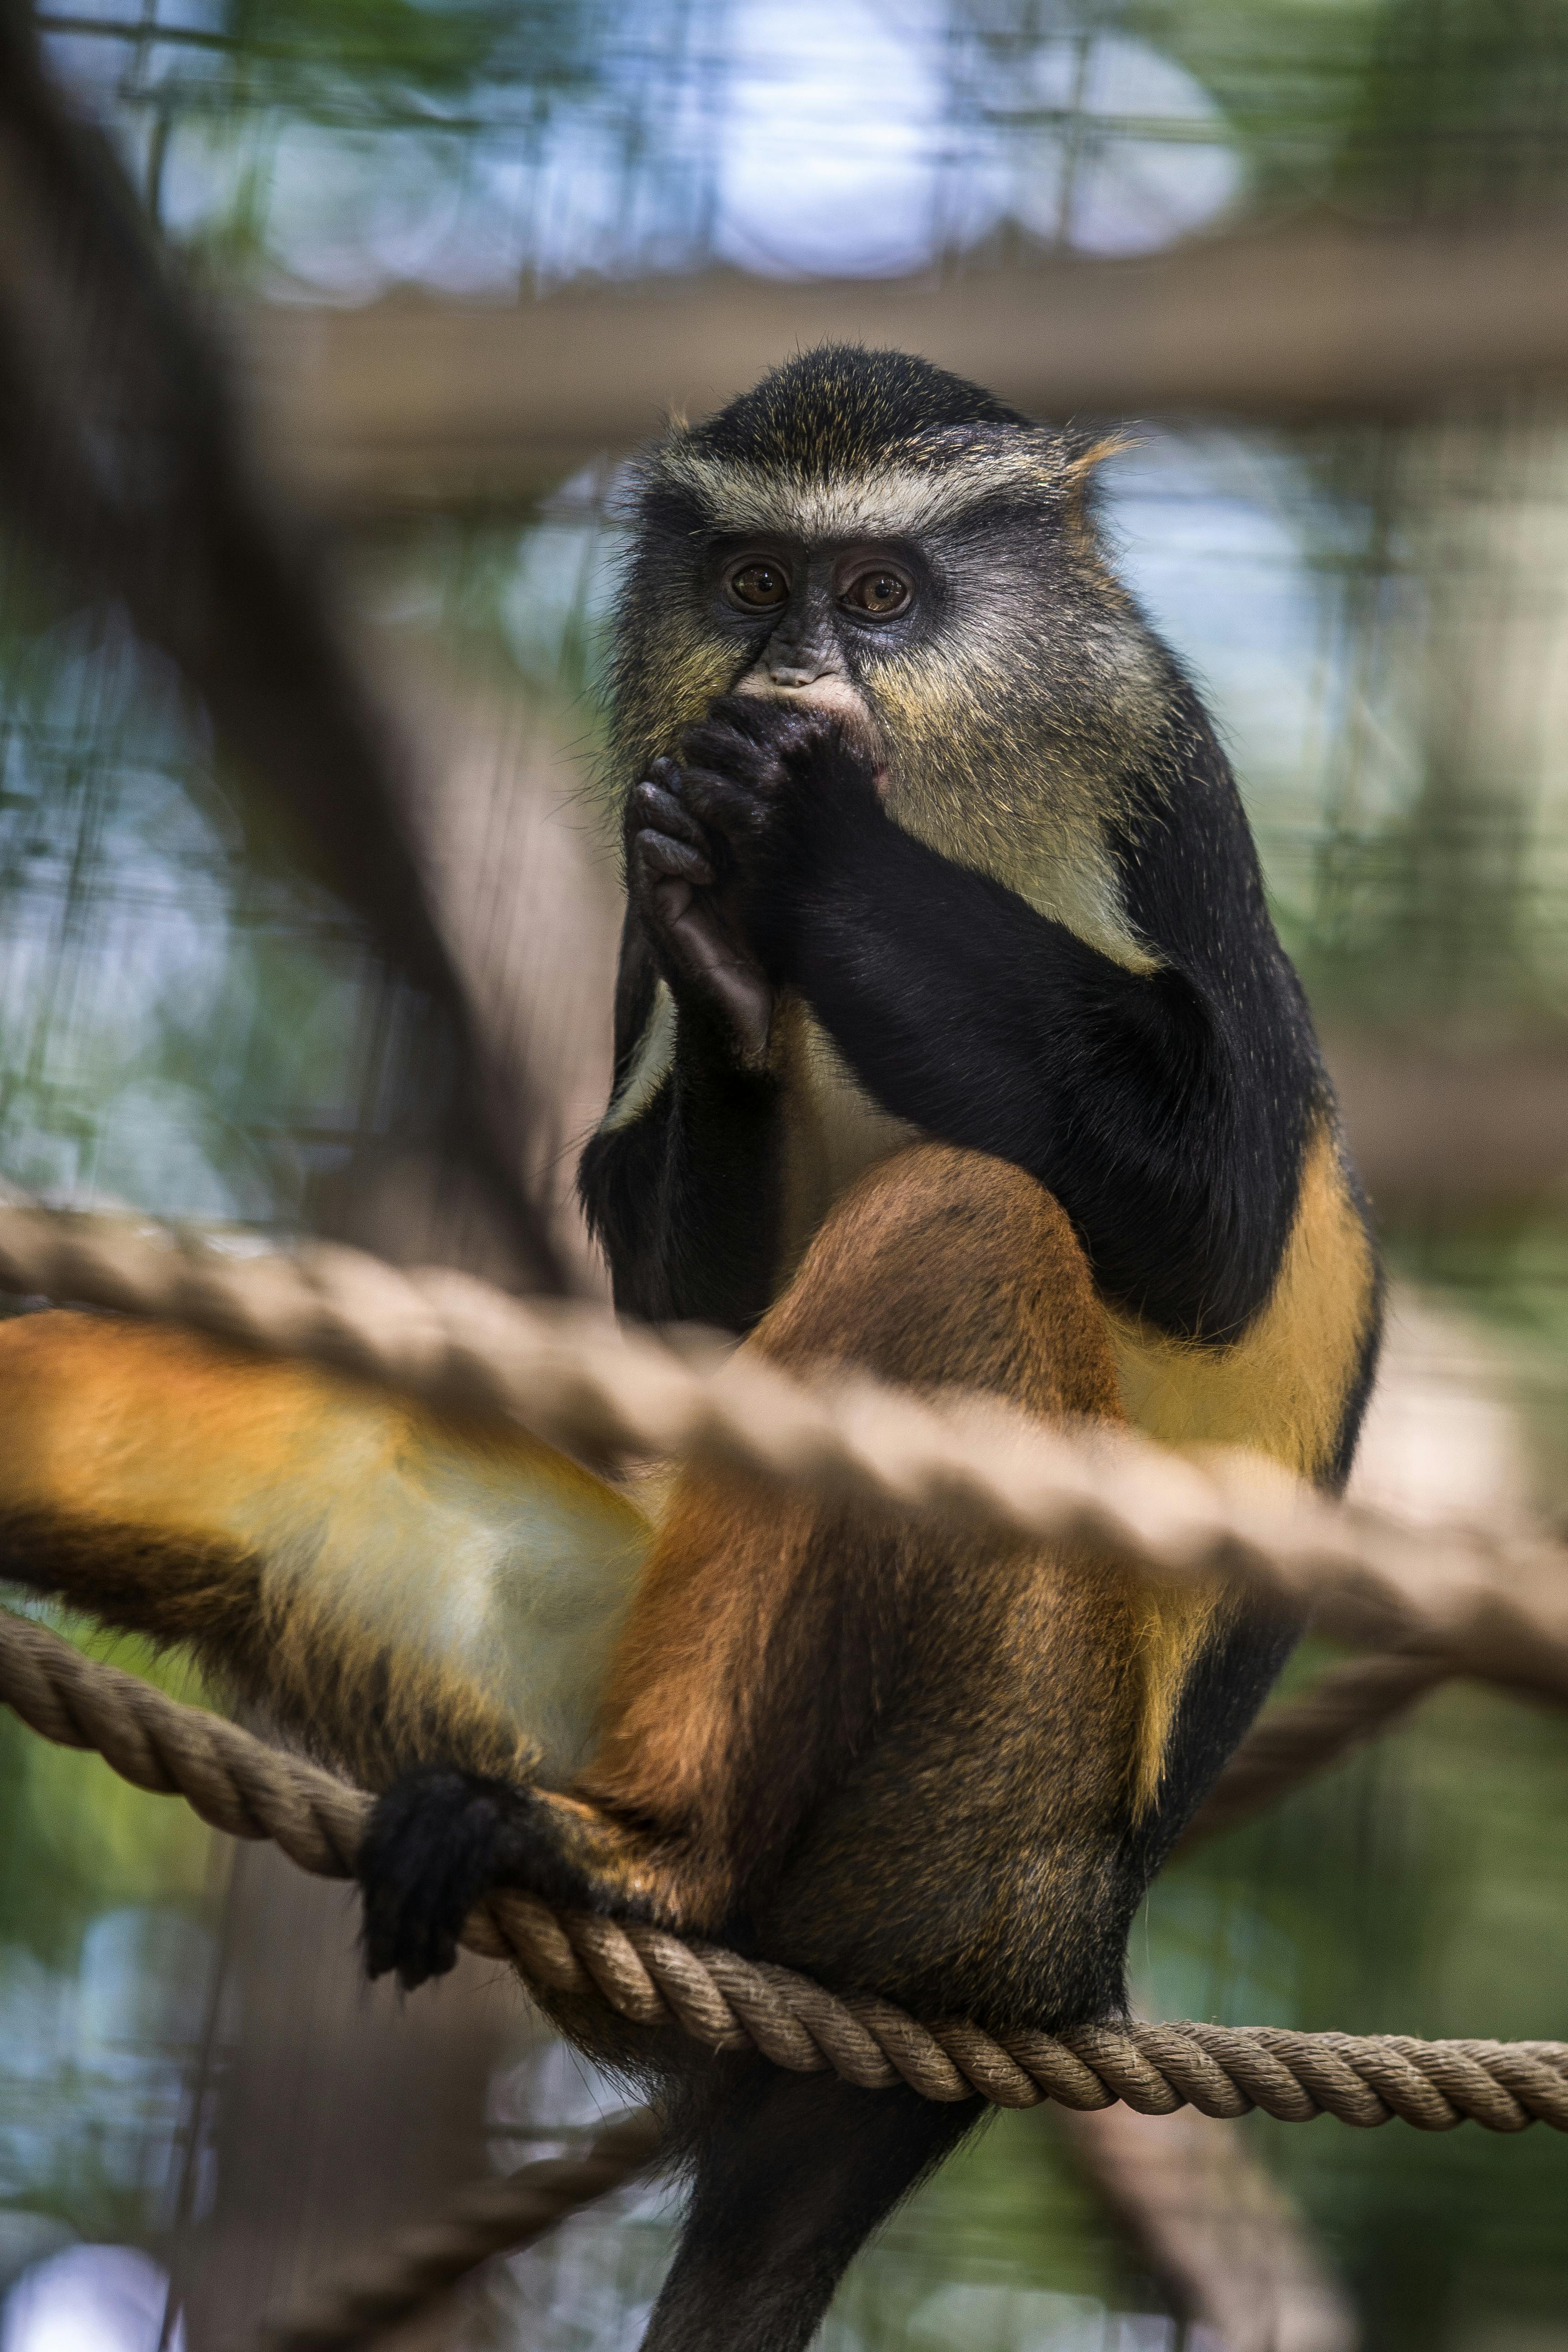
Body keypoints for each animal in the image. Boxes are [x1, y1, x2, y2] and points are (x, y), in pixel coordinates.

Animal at [0, 348, 1382, 2352]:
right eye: (748, 586)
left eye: (875, 596)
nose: (787, 670)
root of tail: (1069, 1968)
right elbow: (698, 1313)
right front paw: (729, 970)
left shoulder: (1169, 793)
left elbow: (1221, 1211)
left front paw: (810, 845)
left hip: (978, 1824)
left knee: (966, 1221)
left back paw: (648, 1853)